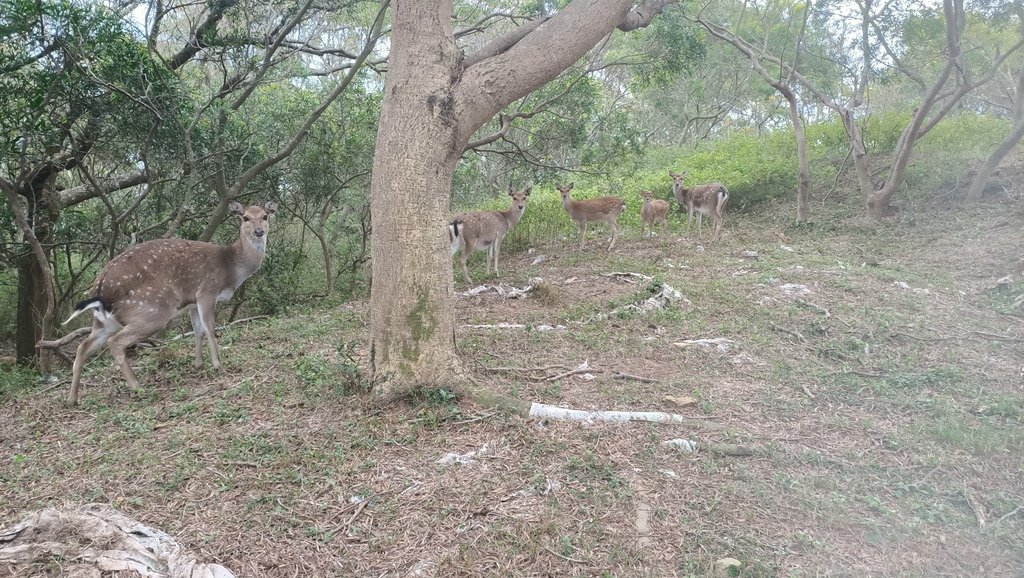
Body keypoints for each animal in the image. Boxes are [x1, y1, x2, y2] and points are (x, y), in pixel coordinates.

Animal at [65, 200, 280, 403]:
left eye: (265, 216)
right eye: (245, 217)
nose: (259, 231)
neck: (231, 269)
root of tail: (99, 289)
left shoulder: (192, 302)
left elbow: (197, 329)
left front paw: (198, 364)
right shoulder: (206, 291)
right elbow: (210, 327)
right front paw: (219, 366)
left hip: (104, 322)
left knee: (83, 347)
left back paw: (73, 399)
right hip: (153, 311)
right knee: (115, 342)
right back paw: (138, 388)